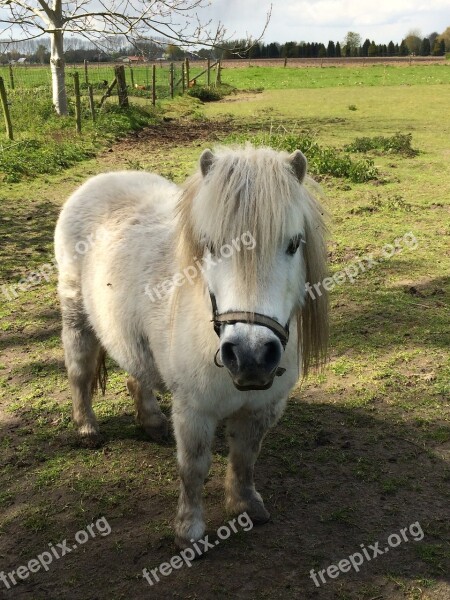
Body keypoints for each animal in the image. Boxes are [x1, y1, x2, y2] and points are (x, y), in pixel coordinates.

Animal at [54, 145, 328, 548]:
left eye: (293, 243)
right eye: (210, 246)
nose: (250, 356)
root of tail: (101, 180)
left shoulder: (261, 408)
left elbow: (245, 457)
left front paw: (245, 505)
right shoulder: (194, 411)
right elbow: (194, 468)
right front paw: (189, 531)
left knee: (137, 374)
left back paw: (152, 422)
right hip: (76, 315)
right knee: (79, 372)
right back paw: (87, 429)